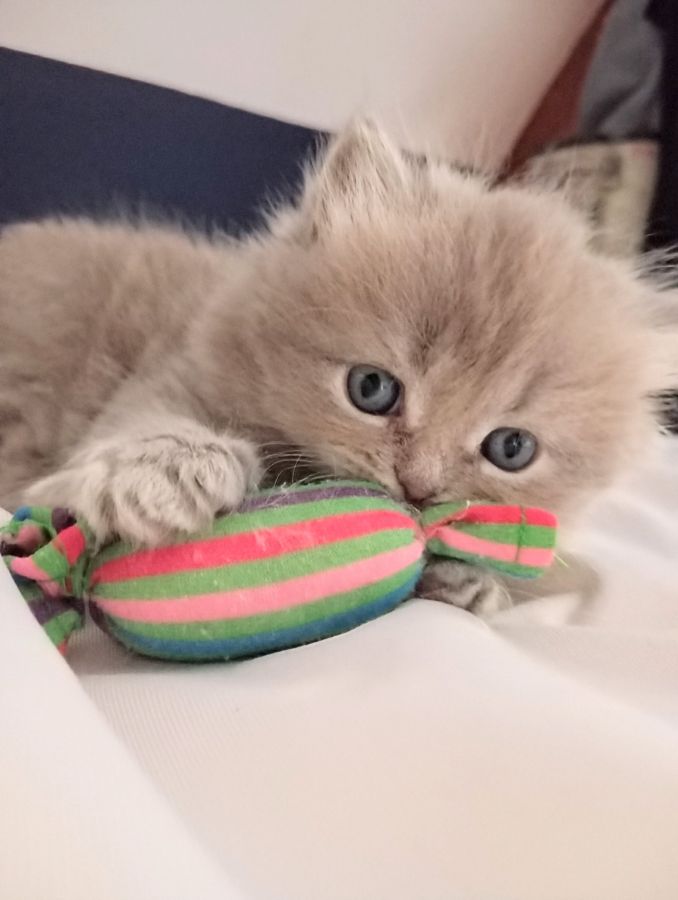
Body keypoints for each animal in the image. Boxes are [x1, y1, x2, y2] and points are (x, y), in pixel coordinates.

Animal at [0, 121, 674, 614]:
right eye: (371, 389)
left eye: (511, 449)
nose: (418, 488)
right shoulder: (175, 368)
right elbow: (145, 426)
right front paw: (164, 474)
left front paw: (469, 584)